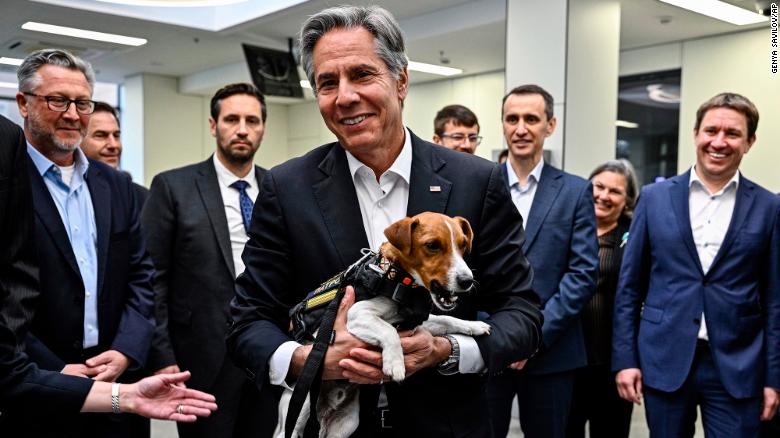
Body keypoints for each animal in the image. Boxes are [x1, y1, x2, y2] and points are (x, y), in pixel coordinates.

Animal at [278, 211, 490, 434]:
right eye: (432, 245)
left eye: (463, 245)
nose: (467, 281)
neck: (398, 277)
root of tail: (324, 411)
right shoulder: (357, 314)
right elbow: (389, 330)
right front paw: (395, 363)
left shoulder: (416, 322)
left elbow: (446, 319)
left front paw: (474, 326)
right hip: (298, 411)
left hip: (345, 424)